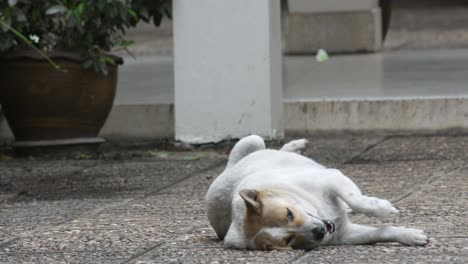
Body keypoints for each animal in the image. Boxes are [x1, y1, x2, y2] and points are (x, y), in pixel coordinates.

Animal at [207, 135, 430, 251]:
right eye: (288, 241)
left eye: (289, 214)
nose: (319, 232)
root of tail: (229, 169)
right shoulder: (344, 234)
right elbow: (381, 232)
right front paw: (409, 235)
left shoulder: (332, 178)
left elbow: (356, 200)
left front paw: (383, 209)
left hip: (253, 139)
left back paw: (294, 146)